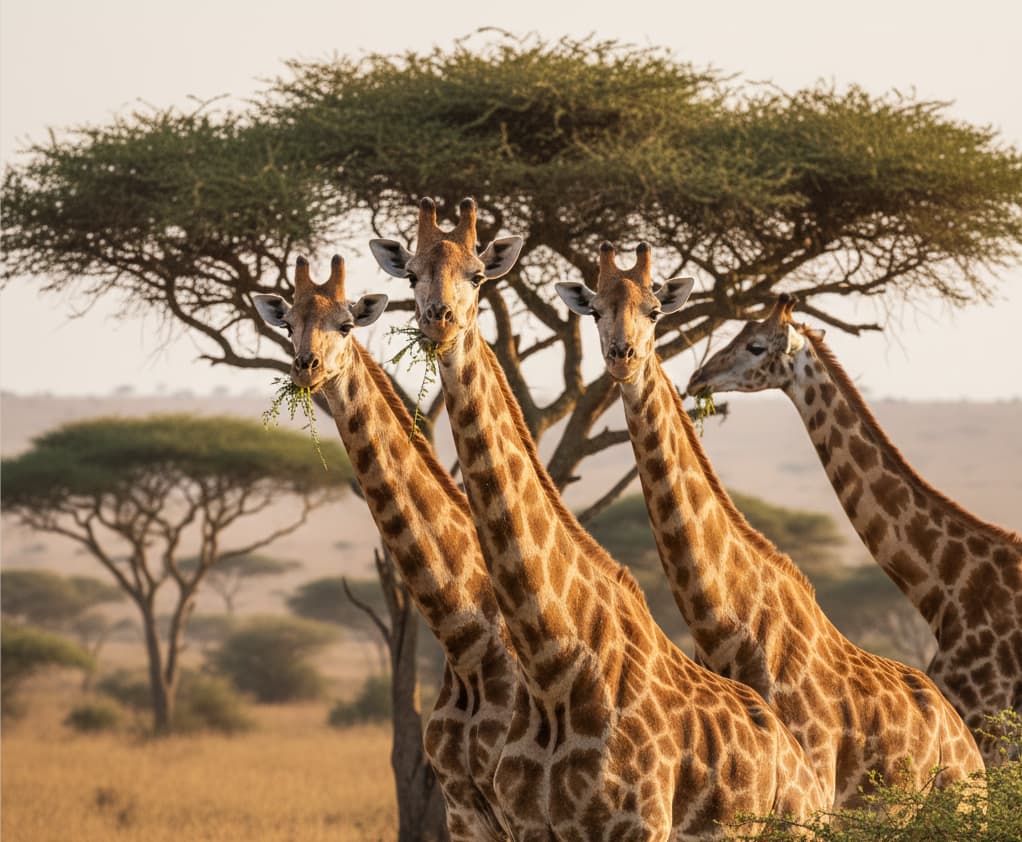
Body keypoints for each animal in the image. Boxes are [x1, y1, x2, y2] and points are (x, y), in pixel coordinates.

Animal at [370, 198, 828, 841]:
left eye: (478, 275)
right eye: (411, 275)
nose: (440, 321)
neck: (556, 662)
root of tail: (804, 772)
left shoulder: (637, 824)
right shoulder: (514, 822)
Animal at [556, 241, 986, 806]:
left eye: (654, 310)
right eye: (595, 311)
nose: (622, 357)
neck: (727, 625)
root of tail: (968, 744)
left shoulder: (814, 780)